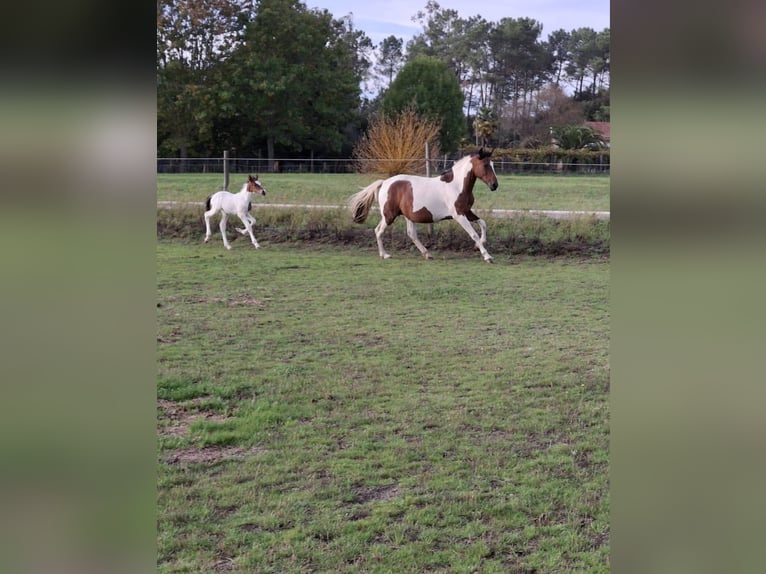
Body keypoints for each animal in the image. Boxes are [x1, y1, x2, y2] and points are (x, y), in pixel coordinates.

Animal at [348, 148, 499, 262]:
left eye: (492, 165)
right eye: (485, 165)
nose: (494, 185)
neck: (457, 186)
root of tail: (384, 182)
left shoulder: (467, 211)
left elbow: (483, 223)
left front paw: (478, 245)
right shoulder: (459, 215)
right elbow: (473, 234)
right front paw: (487, 256)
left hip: (407, 216)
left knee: (411, 234)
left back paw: (427, 254)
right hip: (389, 215)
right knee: (379, 230)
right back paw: (385, 255)